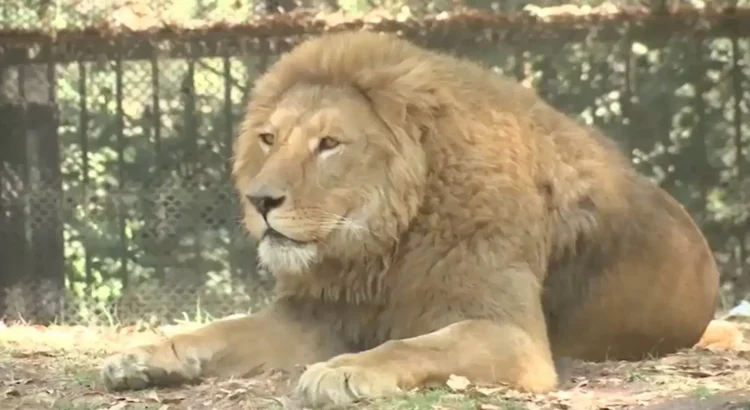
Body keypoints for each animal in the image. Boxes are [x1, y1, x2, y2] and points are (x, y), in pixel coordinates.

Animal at [98, 30, 740, 406]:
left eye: (329, 144)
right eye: (268, 139)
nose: (260, 201)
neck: (381, 248)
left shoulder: (512, 336)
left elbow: (417, 345)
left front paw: (340, 372)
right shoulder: (317, 314)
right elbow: (217, 330)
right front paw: (141, 357)